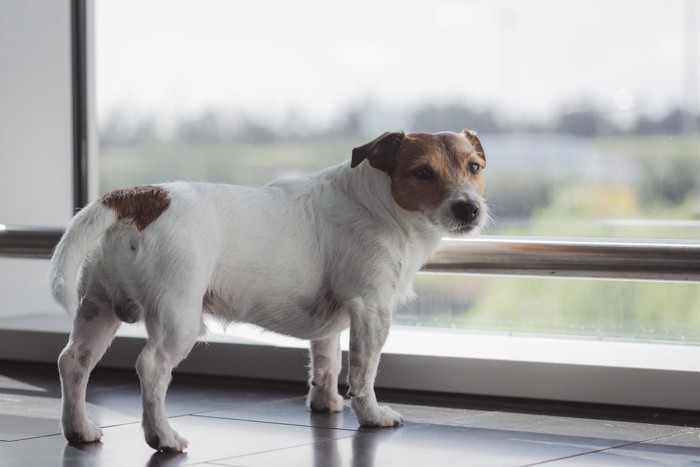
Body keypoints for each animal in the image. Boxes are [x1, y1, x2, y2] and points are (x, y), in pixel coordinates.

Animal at [49, 130, 486, 452]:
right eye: (423, 173)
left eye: (474, 167)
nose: (469, 209)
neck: (377, 204)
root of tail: (138, 197)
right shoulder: (372, 309)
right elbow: (364, 372)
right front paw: (373, 415)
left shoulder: (333, 323)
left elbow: (326, 363)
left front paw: (326, 404)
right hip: (178, 319)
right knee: (151, 367)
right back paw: (163, 437)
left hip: (97, 309)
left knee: (73, 361)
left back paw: (79, 429)